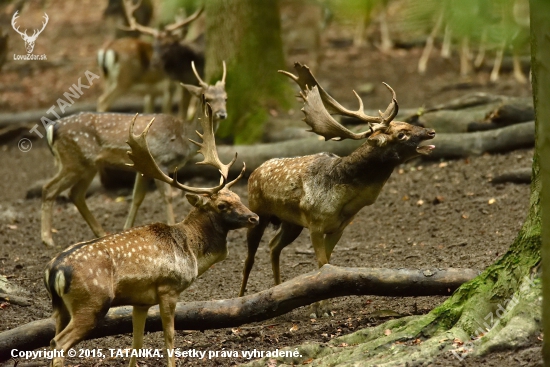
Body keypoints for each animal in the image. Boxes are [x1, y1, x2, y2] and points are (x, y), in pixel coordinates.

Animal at [44, 106, 260, 367]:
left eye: (238, 197)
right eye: (222, 205)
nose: (254, 218)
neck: (192, 251)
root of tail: (54, 271)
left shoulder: (141, 301)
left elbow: (137, 343)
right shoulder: (168, 289)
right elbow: (169, 337)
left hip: (60, 308)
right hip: (92, 302)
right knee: (58, 343)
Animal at [239, 62, 438, 316]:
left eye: (409, 123)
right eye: (401, 134)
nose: (430, 131)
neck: (345, 199)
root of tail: (255, 171)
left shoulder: (339, 227)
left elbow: (327, 264)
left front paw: (320, 305)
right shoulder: (315, 224)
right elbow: (322, 263)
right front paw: (320, 309)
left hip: (292, 223)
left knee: (274, 246)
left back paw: (278, 291)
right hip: (257, 213)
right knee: (249, 258)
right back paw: (241, 299)